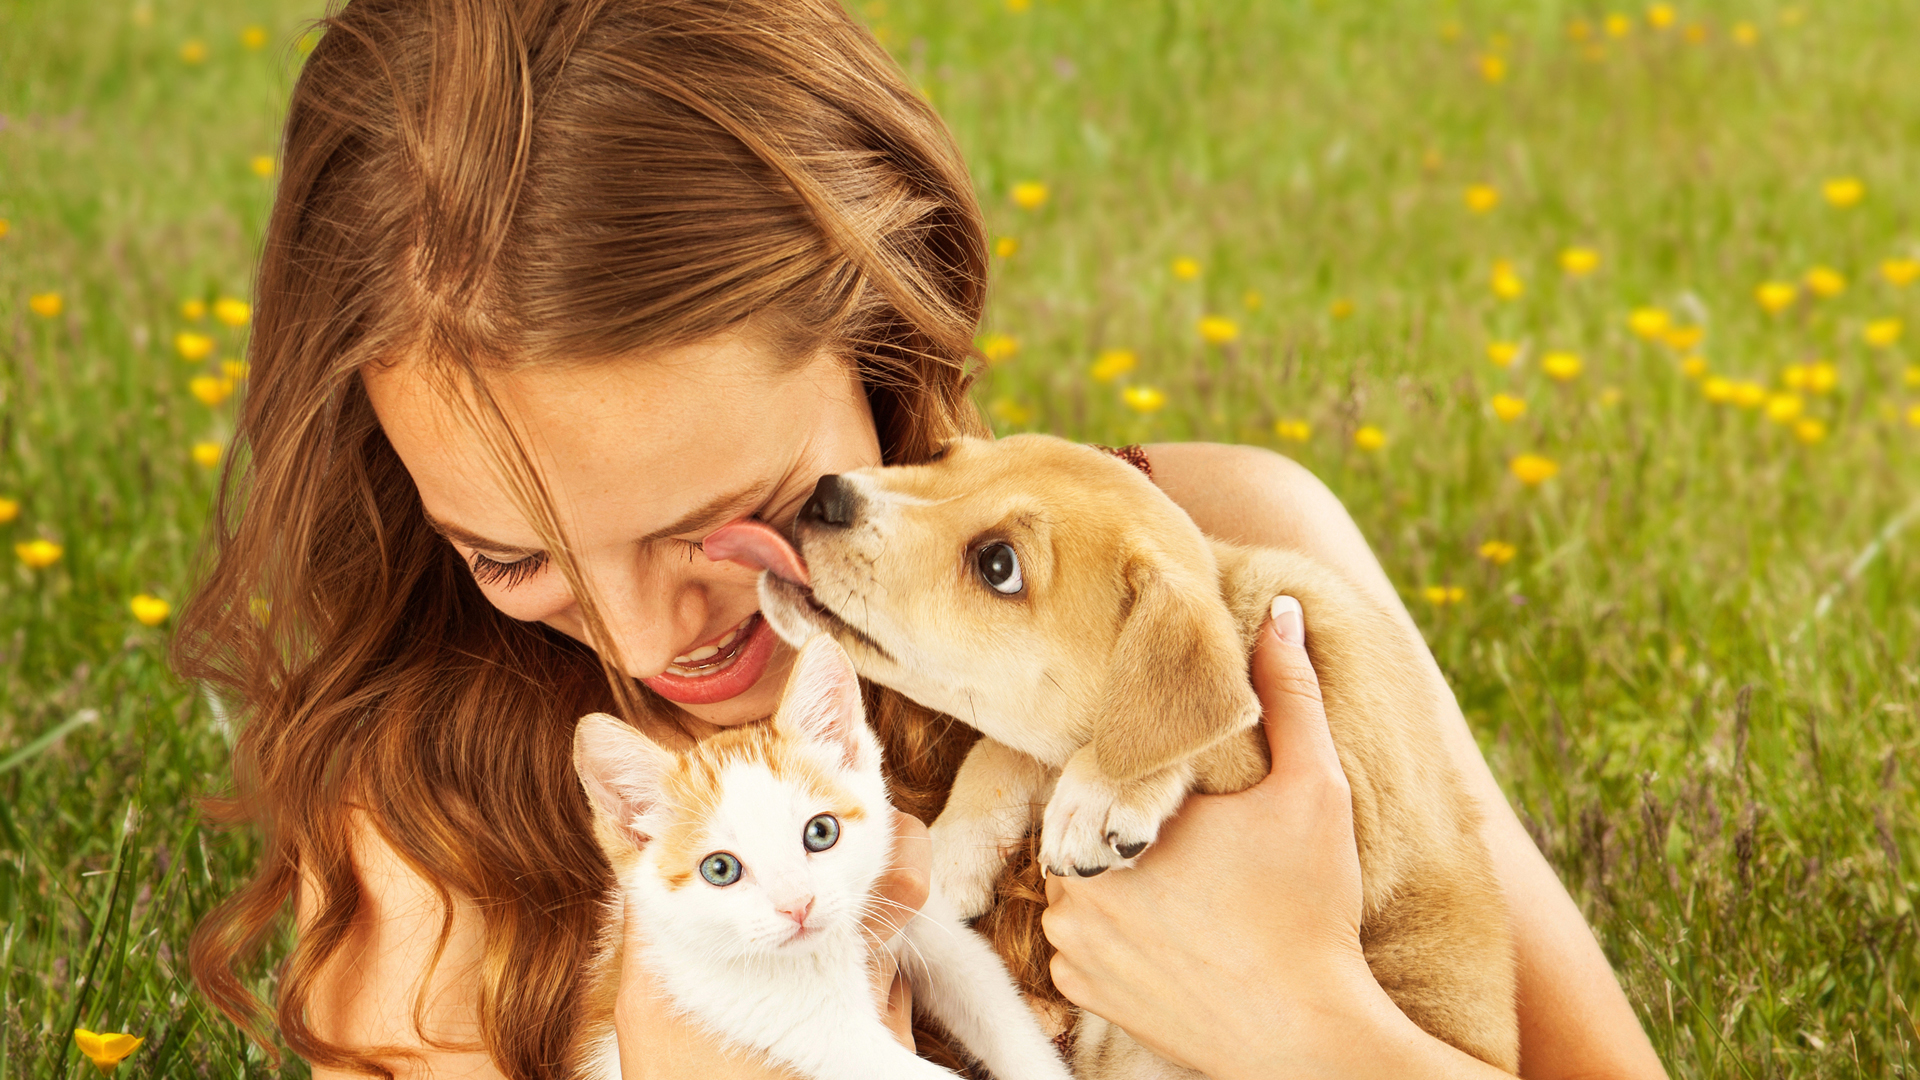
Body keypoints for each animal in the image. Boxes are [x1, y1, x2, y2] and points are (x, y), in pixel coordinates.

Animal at [568, 630, 1082, 1076]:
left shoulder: (925, 923)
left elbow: (998, 1010)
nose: (798, 905)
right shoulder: (774, 1014)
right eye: (719, 868)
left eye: (820, 832)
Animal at [714, 430, 1520, 1068]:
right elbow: (1008, 749)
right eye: (945, 457)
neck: (1234, 600)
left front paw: (1103, 793)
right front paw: (956, 852)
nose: (827, 494)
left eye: (999, 565)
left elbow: (1178, 733)